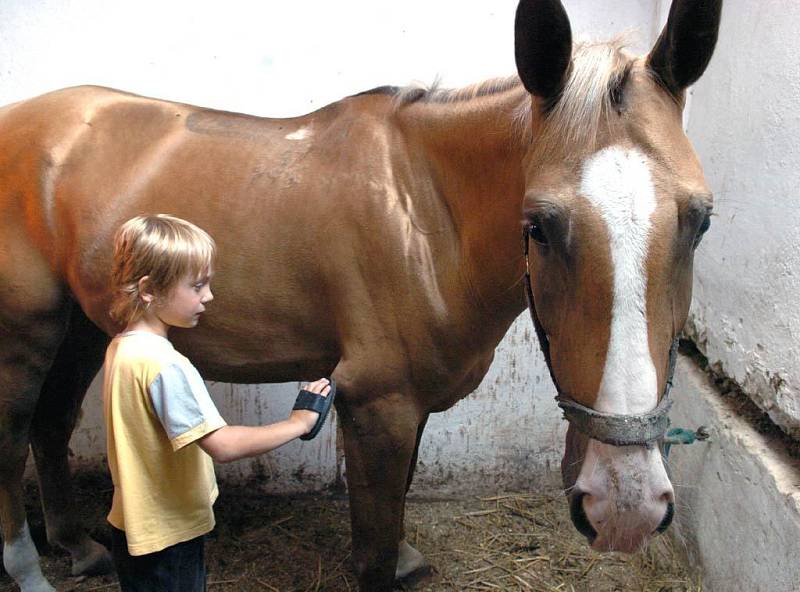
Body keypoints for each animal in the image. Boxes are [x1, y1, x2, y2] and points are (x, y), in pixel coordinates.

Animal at [0, 0, 720, 588]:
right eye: (538, 226)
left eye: (700, 219)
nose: (625, 502)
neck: (426, 216)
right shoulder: (379, 405)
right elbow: (372, 548)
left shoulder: (410, 406)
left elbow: (395, 509)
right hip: (28, 333)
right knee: (12, 438)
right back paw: (29, 569)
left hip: (86, 325)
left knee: (51, 422)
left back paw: (77, 546)